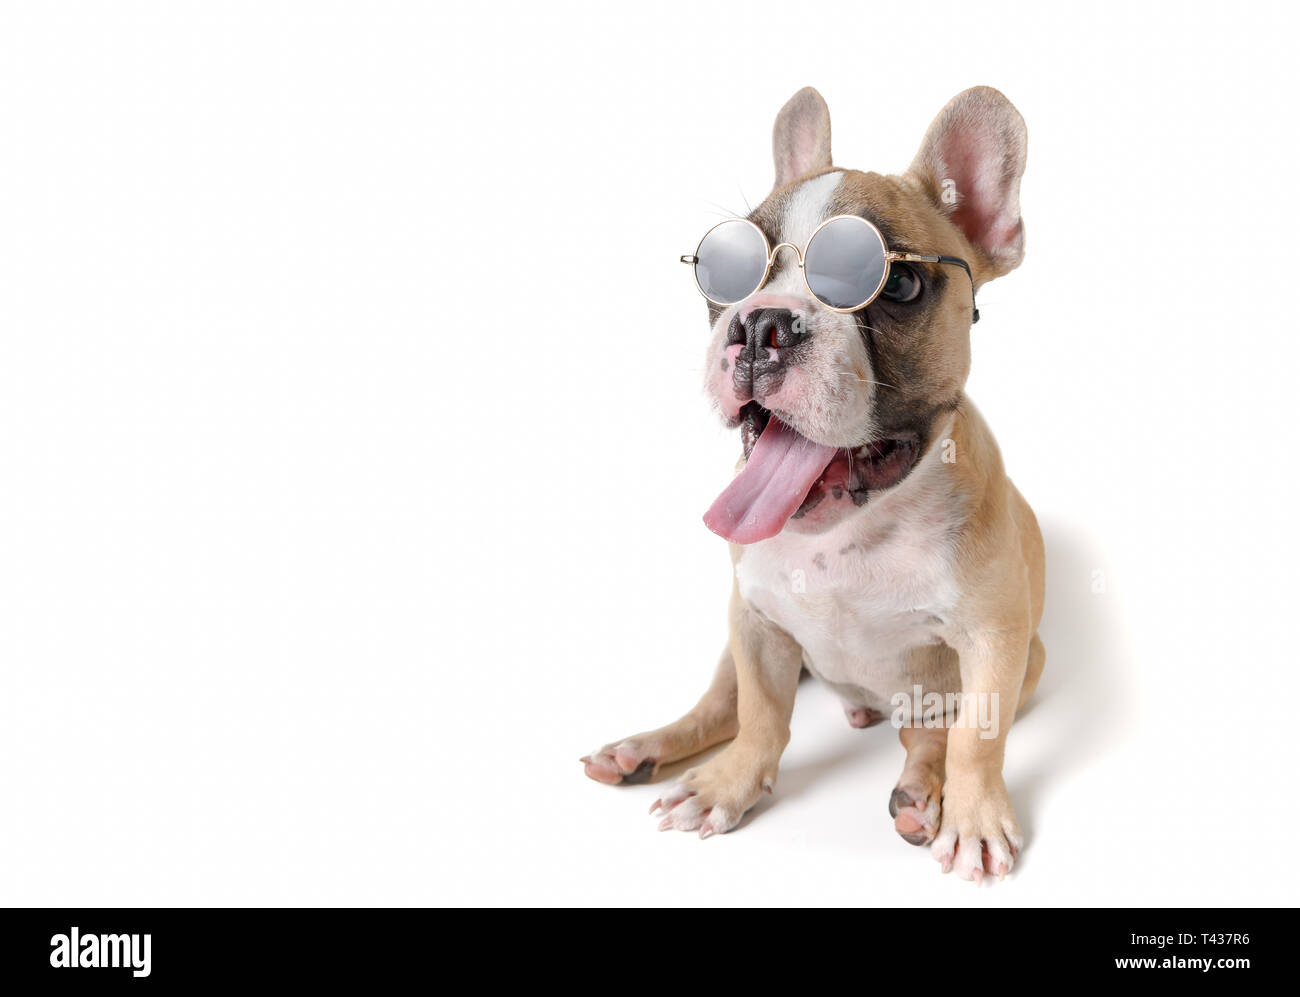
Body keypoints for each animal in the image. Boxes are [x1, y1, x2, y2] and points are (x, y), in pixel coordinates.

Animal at [582, 85, 1045, 883]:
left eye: (899, 284)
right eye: (726, 273)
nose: (761, 323)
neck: (849, 533)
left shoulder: (996, 639)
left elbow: (976, 741)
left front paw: (976, 819)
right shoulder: (755, 619)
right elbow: (761, 714)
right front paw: (731, 785)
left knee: (930, 735)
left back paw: (922, 793)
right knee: (718, 704)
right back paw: (644, 750)